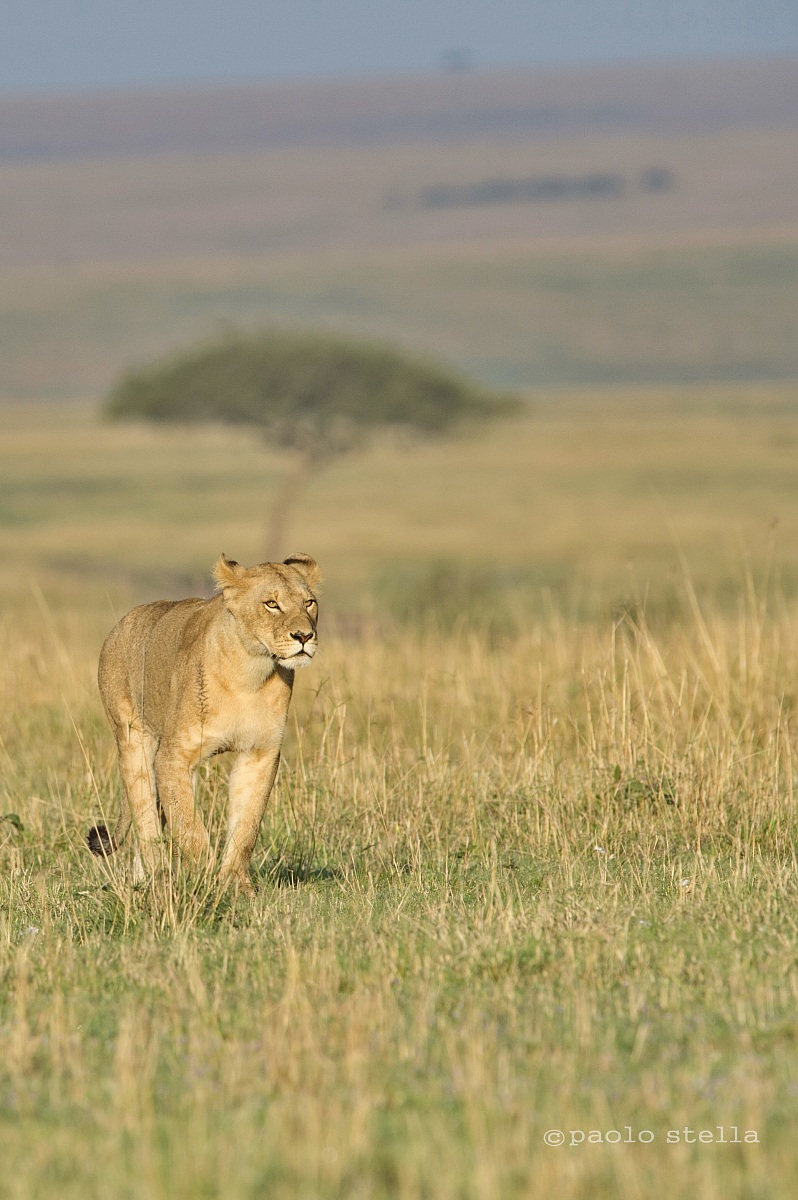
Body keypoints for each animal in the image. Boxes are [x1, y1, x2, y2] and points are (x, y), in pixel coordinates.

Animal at [88, 553, 320, 890]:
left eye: (309, 603)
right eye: (271, 604)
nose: (304, 636)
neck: (250, 672)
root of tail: (123, 623)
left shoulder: (260, 753)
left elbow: (246, 824)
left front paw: (235, 883)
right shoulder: (173, 757)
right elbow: (189, 826)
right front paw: (208, 878)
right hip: (134, 738)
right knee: (145, 816)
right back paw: (157, 876)